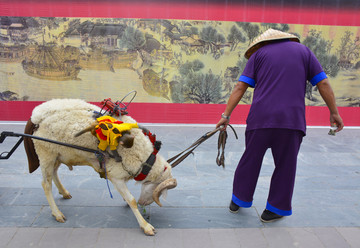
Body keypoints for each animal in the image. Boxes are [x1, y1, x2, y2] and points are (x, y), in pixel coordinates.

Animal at [24, 98, 177, 234]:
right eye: (160, 191)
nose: (143, 203)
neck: (144, 158)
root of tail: (36, 116)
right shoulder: (115, 176)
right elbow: (131, 200)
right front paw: (146, 226)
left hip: (57, 153)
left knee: (54, 173)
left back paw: (64, 192)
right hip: (45, 152)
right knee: (46, 184)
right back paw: (57, 214)